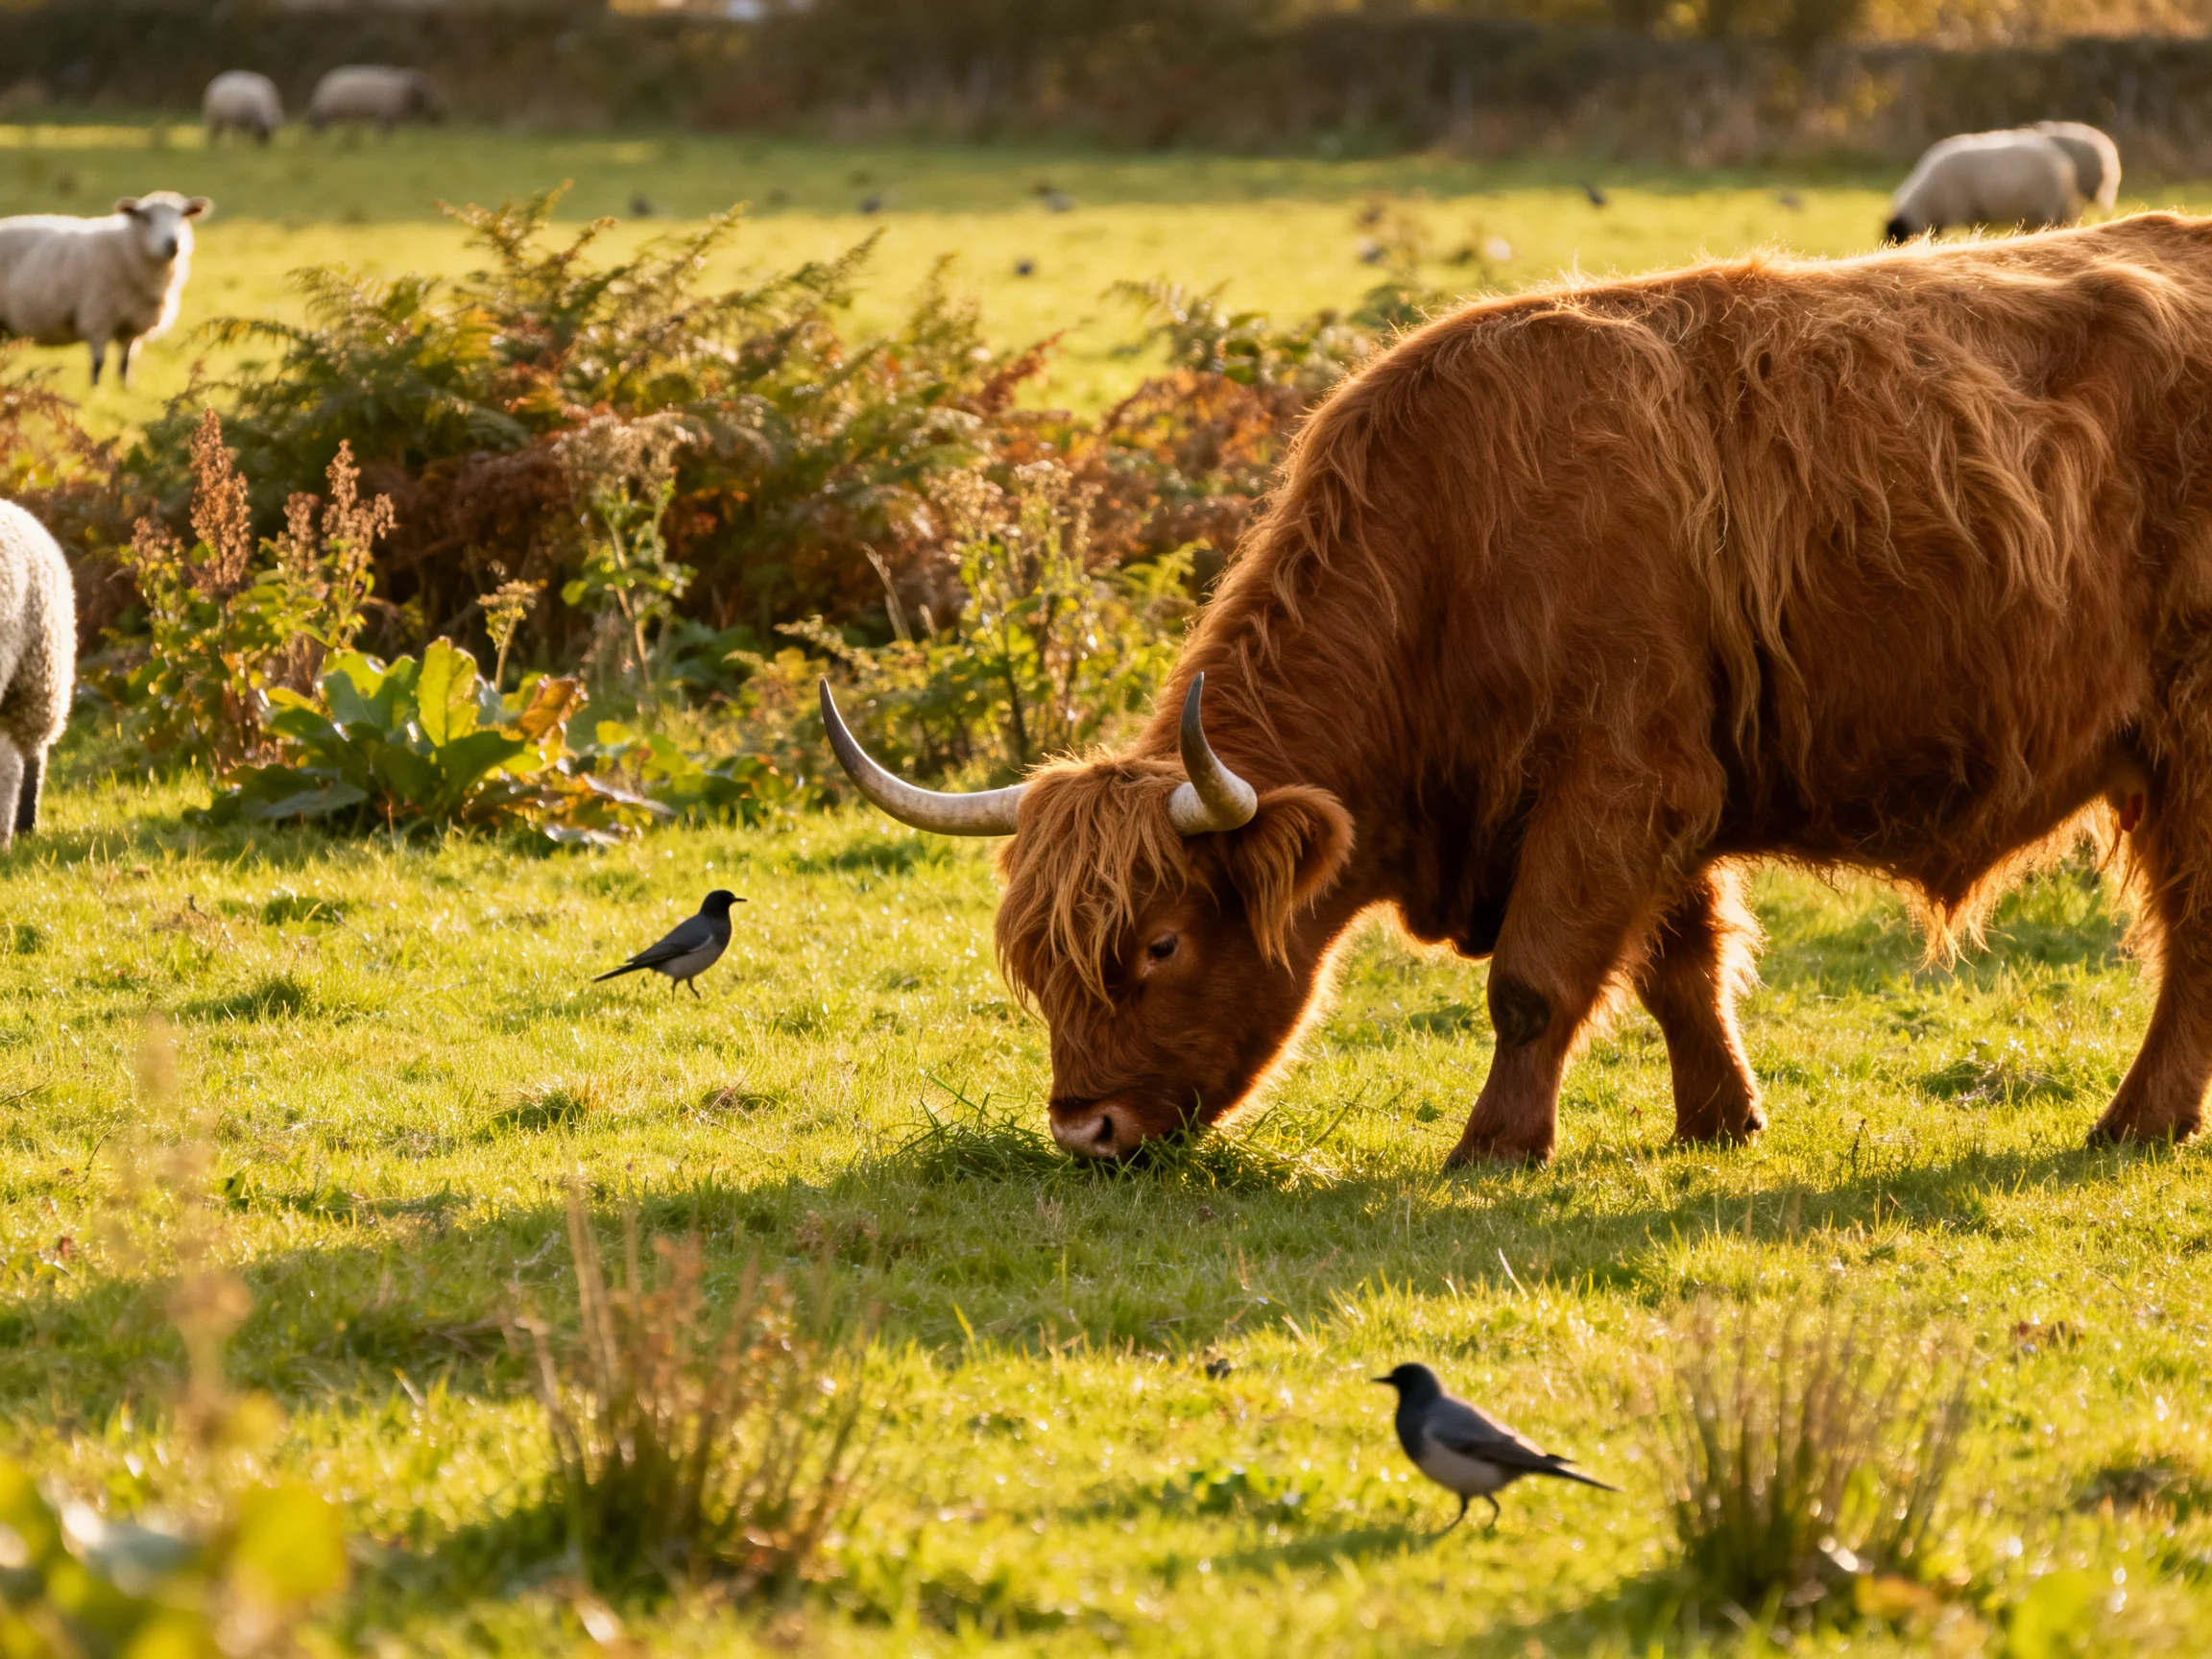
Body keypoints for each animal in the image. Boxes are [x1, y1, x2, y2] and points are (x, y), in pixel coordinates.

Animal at [0, 192, 211, 387]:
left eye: (182, 216)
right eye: (146, 217)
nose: (172, 243)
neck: (126, 248)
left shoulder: (132, 326)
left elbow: (125, 364)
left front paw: (126, 389)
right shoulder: (98, 318)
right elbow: (98, 364)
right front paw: (96, 391)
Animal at [308, 67, 445, 134]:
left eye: (427, 84)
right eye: (424, 87)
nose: (441, 114)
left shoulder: (390, 117)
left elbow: (389, 133)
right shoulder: (385, 115)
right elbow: (382, 134)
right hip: (323, 111)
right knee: (317, 126)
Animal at [824, 212, 2212, 1167]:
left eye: (1160, 943)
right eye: (1035, 961)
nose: (1085, 1130)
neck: (1452, 553)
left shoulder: (1617, 782)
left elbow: (1538, 982)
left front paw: (1495, 1144)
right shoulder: (1671, 788)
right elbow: (1680, 968)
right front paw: (1721, 1120)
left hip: (2189, 742)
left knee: (2190, 933)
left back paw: (2136, 1123)